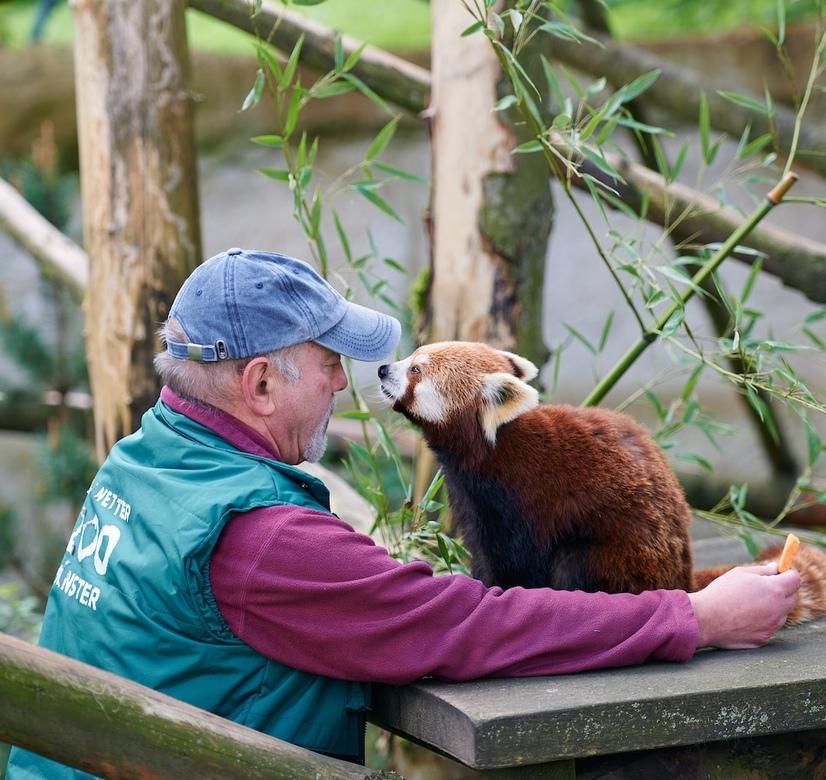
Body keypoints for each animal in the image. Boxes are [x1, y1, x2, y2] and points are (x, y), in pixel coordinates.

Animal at [379, 340, 826, 624]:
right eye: (411, 356)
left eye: (416, 369)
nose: (383, 368)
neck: (493, 445)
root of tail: (681, 577)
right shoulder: (472, 498)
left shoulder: (521, 497)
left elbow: (515, 559)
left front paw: (496, 590)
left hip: (618, 554)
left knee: (576, 564)